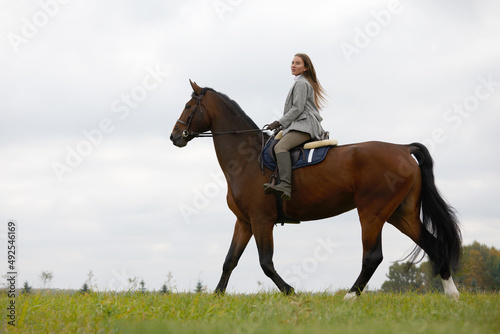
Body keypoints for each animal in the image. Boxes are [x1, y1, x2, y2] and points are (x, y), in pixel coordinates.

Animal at [170, 81, 462, 300]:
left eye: (188, 106)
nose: (174, 136)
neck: (247, 159)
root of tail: (402, 148)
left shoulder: (261, 221)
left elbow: (266, 263)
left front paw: (290, 291)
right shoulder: (244, 221)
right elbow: (229, 260)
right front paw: (217, 296)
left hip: (372, 213)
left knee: (373, 257)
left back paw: (349, 297)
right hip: (400, 215)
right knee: (433, 244)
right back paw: (451, 293)